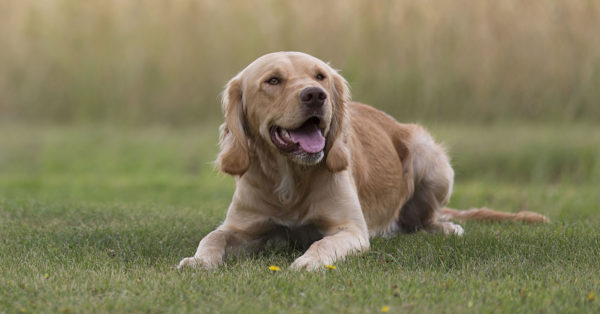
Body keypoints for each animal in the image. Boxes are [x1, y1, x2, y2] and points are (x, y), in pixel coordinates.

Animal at [177, 51, 548, 270]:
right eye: (273, 80)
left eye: (320, 76)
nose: (316, 95)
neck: (290, 179)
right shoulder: (241, 228)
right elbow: (213, 237)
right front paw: (198, 261)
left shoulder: (351, 230)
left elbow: (323, 243)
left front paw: (308, 262)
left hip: (429, 155)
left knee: (425, 220)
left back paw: (443, 227)